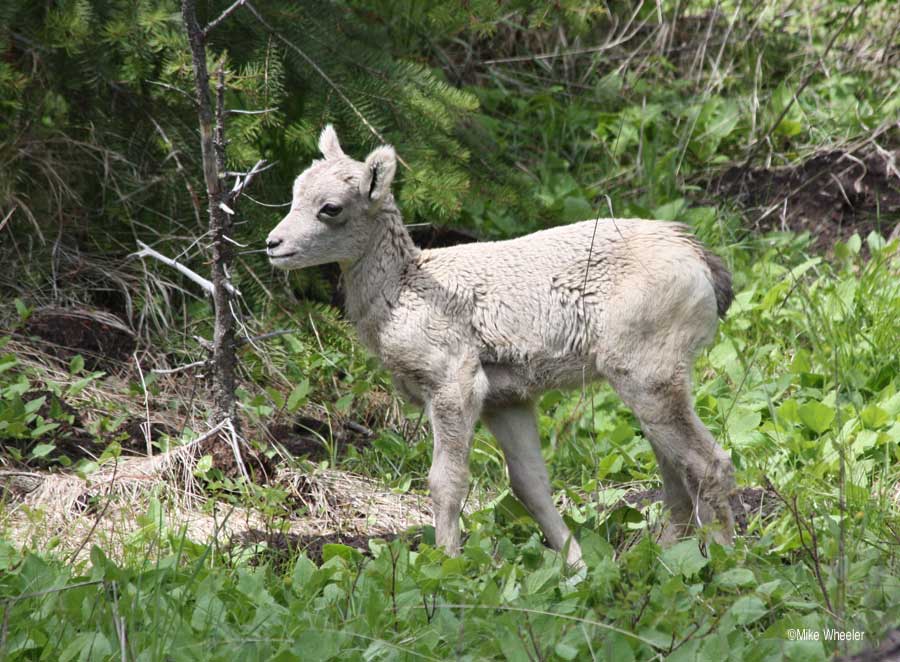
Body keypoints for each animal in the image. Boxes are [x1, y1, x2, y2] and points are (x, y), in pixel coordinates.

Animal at [266, 127, 732, 568]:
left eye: (331, 207)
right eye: (294, 192)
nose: (273, 244)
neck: (403, 288)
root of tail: (700, 259)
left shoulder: (455, 385)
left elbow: (446, 483)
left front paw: (448, 565)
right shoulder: (506, 400)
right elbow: (530, 485)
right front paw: (576, 567)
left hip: (648, 374)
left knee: (709, 463)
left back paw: (727, 560)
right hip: (648, 384)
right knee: (675, 471)